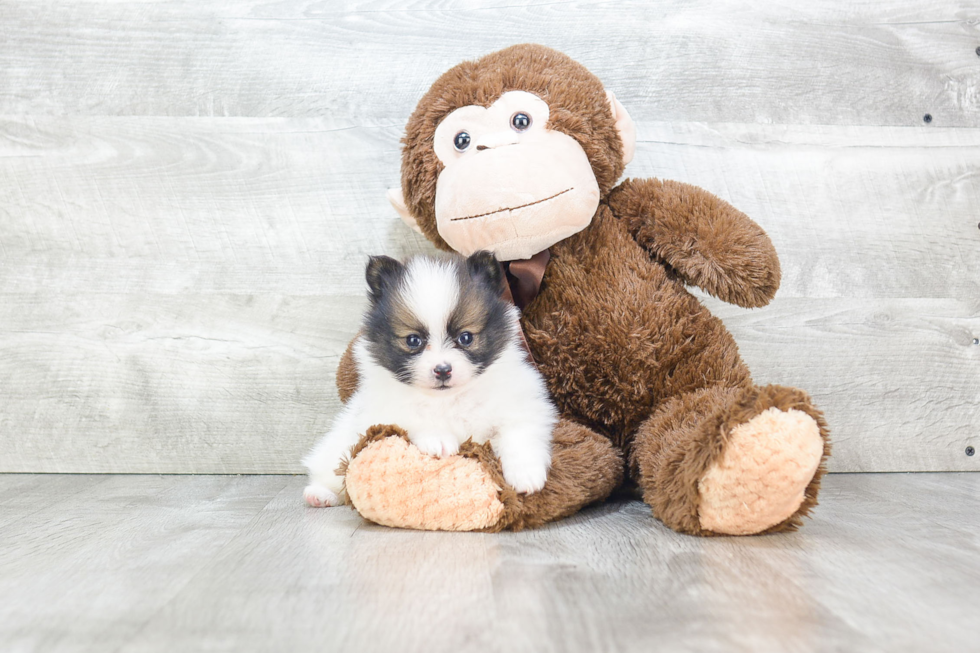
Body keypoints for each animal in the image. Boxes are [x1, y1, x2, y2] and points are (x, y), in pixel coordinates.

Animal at [302, 247, 556, 506]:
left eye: (466, 337)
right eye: (414, 340)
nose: (443, 369)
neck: (448, 398)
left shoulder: (520, 403)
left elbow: (519, 433)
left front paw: (526, 474)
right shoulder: (380, 412)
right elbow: (411, 418)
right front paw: (437, 438)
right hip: (339, 445)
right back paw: (320, 494)